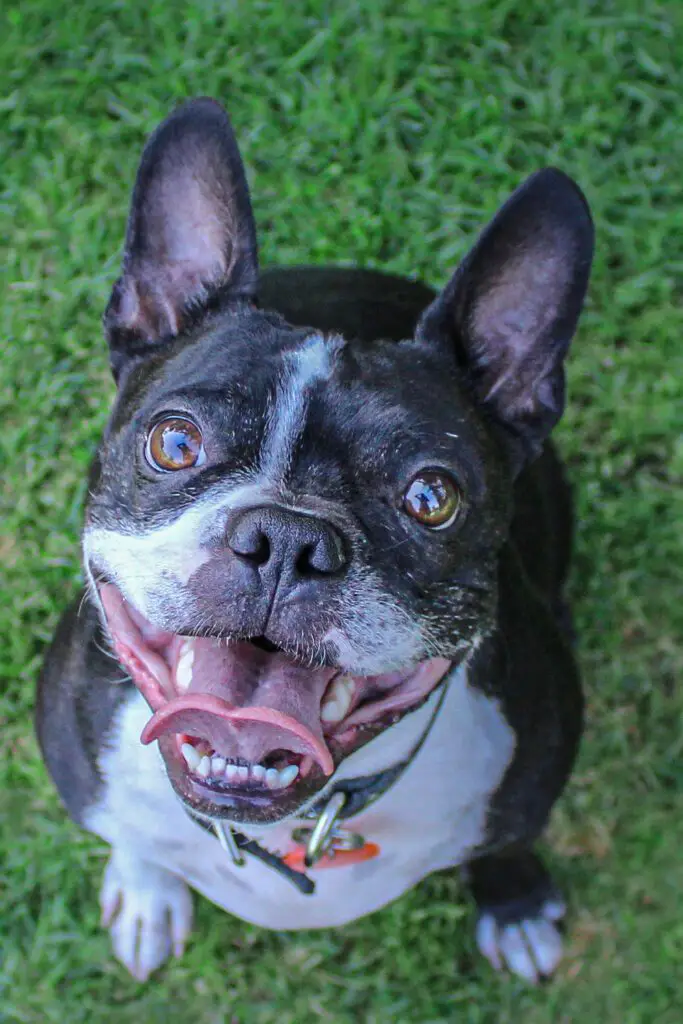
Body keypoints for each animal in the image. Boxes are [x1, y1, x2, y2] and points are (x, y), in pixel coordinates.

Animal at [36, 97, 593, 983]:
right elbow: (132, 836)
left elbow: (508, 843)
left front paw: (514, 905)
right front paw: (147, 889)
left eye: (432, 497)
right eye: (174, 443)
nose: (288, 538)